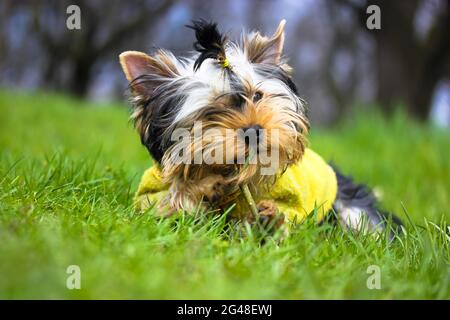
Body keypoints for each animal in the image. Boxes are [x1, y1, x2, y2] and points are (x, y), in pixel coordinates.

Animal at [118, 18, 402, 236]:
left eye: (257, 96)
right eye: (210, 112)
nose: (253, 130)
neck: (241, 177)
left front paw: (269, 220)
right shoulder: (151, 197)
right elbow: (163, 206)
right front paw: (204, 188)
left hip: (350, 205)